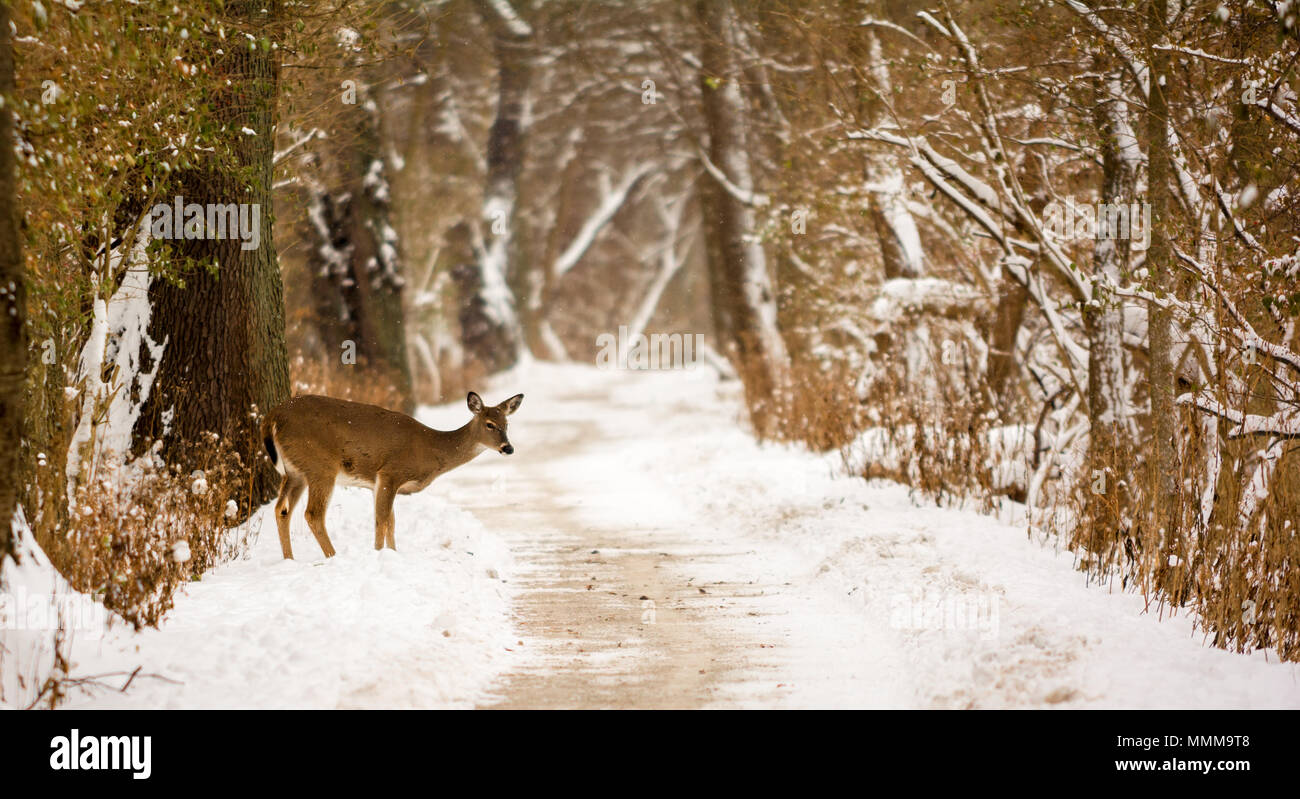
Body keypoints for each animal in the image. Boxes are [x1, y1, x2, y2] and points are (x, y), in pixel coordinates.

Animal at [258, 389, 522, 558]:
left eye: (507, 424)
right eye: (489, 424)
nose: (508, 448)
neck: (431, 448)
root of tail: (271, 418)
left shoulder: (378, 483)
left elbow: (392, 523)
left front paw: (393, 554)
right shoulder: (390, 472)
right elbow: (382, 521)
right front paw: (379, 555)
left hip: (295, 471)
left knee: (282, 510)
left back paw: (289, 559)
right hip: (320, 466)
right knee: (313, 514)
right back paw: (333, 556)